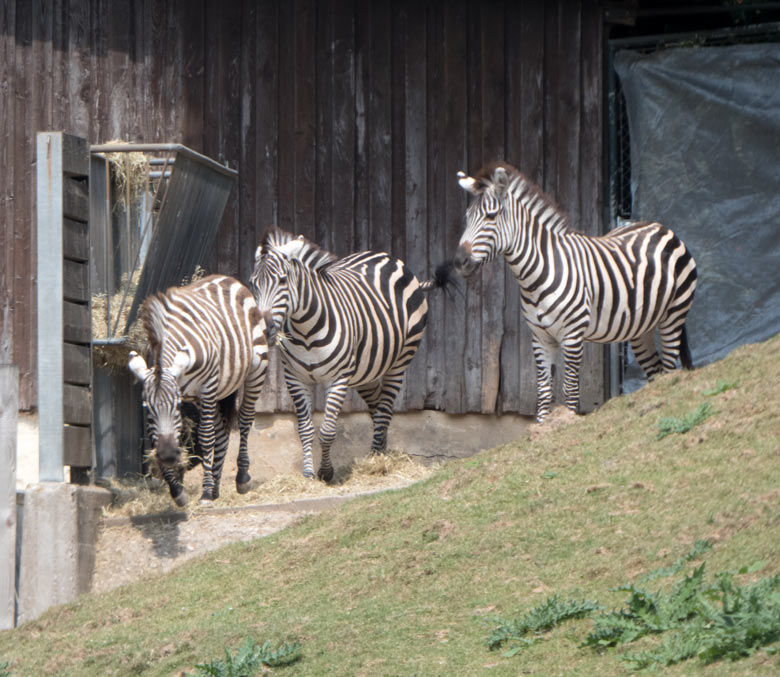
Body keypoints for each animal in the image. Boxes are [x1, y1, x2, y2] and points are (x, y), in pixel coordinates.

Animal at [125, 274, 266, 502]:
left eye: (176, 406)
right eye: (147, 408)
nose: (168, 456)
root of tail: (225, 278)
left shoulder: (207, 387)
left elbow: (206, 437)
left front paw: (206, 492)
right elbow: (158, 440)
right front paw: (177, 491)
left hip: (255, 369)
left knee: (244, 420)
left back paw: (241, 478)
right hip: (208, 396)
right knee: (222, 432)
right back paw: (216, 486)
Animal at [250, 227, 450, 480]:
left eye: (283, 281)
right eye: (252, 284)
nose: (264, 330)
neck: (305, 331)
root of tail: (388, 257)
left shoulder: (338, 378)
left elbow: (327, 430)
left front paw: (326, 472)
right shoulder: (295, 379)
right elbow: (305, 429)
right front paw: (308, 473)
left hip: (399, 361)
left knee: (385, 409)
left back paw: (376, 459)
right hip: (366, 370)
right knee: (377, 407)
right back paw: (380, 450)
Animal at [454, 160, 696, 420]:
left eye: (491, 216)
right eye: (467, 218)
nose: (459, 262)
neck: (537, 275)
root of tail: (661, 227)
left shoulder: (572, 335)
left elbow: (570, 389)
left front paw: (568, 422)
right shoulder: (540, 338)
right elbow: (543, 392)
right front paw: (543, 426)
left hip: (673, 315)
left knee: (669, 369)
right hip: (642, 328)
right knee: (656, 372)